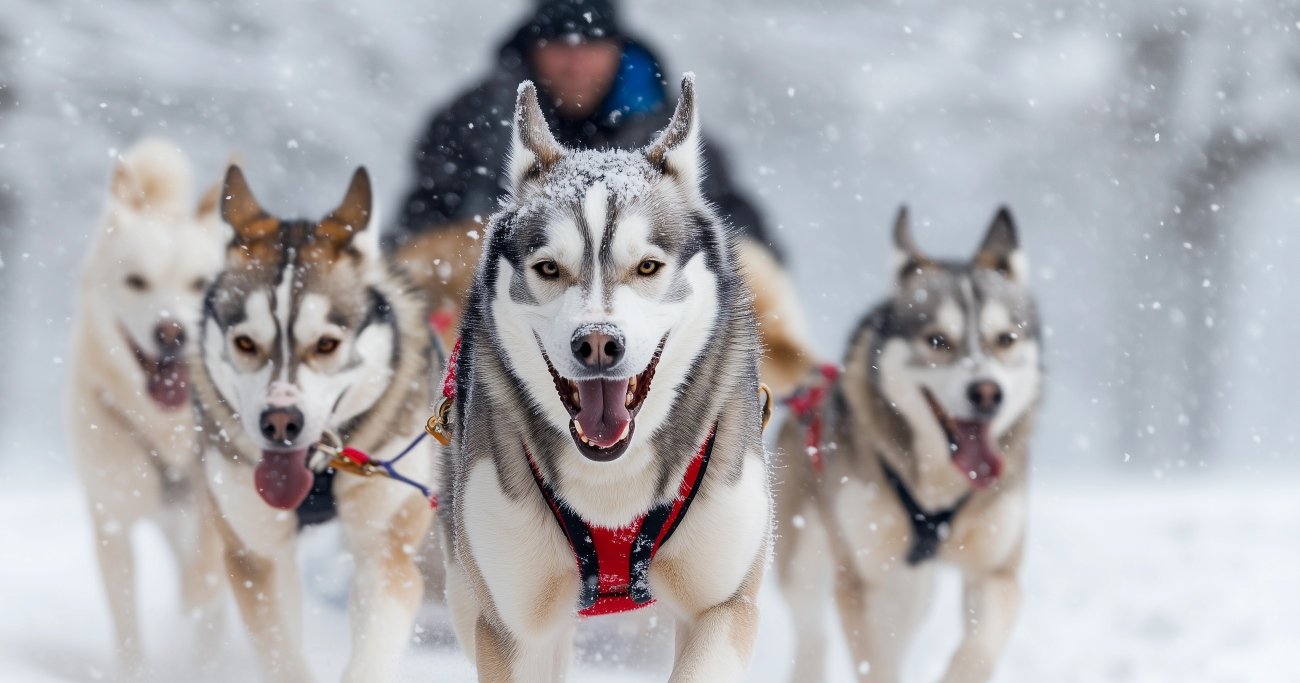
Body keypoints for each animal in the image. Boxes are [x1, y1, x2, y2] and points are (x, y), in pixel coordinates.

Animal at [67, 138, 228, 671]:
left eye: (199, 283)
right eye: (137, 281)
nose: (171, 332)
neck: (168, 427)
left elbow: (207, 580)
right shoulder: (112, 522)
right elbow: (127, 626)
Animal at [192, 165, 436, 681]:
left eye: (326, 344)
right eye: (245, 343)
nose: (280, 423)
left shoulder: (387, 553)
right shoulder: (258, 555)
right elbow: (281, 651)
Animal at [444, 75, 769, 681]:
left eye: (647, 266)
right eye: (549, 268)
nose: (597, 343)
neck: (610, 489)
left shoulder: (725, 604)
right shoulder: (512, 630)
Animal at [774, 206, 1040, 681]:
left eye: (1006, 339)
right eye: (937, 340)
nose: (987, 393)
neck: (937, 487)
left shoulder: (996, 572)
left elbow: (977, 652)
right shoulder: (861, 578)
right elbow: (873, 663)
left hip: (911, 588)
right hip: (807, 559)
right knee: (812, 634)